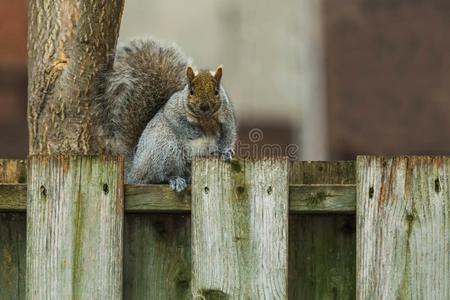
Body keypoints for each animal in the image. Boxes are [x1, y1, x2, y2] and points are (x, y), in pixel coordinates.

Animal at [96, 38, 237, 192]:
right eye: (191, 91)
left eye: (216, 92)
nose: (204, 107)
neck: (205, 119)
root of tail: (134, 171)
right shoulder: (173, 109)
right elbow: (178, 122)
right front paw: (196, 132)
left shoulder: (226, 119)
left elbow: (228, 136)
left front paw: (226, 152)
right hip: (165, 150)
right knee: (156, 177)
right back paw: (174, 179)